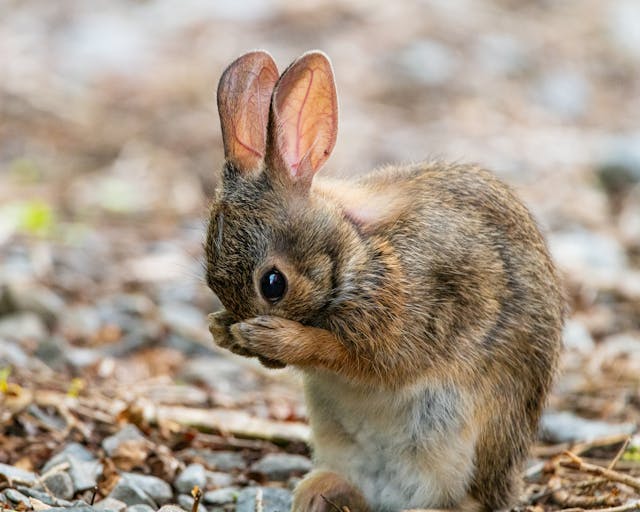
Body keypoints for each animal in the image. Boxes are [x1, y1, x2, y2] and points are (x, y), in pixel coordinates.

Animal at [205, 49, 564, 512]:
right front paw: (221, 329)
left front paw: (273, 337)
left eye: (273, 284)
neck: (352, 247)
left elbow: (348, 355)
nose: (263, 358)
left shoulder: (410, 317)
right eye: (210, 279)